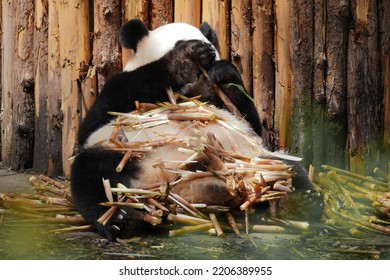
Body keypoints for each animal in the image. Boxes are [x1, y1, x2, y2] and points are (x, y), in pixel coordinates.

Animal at [71, 18, 322, 241]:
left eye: (212, 47)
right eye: (179, 42)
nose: (207, 53)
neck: (188, 91)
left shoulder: (219, 102)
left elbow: (249, 120)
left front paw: (224, 73)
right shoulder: (119, 93)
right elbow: (98, 119)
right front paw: (185, 59)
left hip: (249, 160)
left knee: (288, 169)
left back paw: (301, 201)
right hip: (128, 153)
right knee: (91, 176)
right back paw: (121, 219)